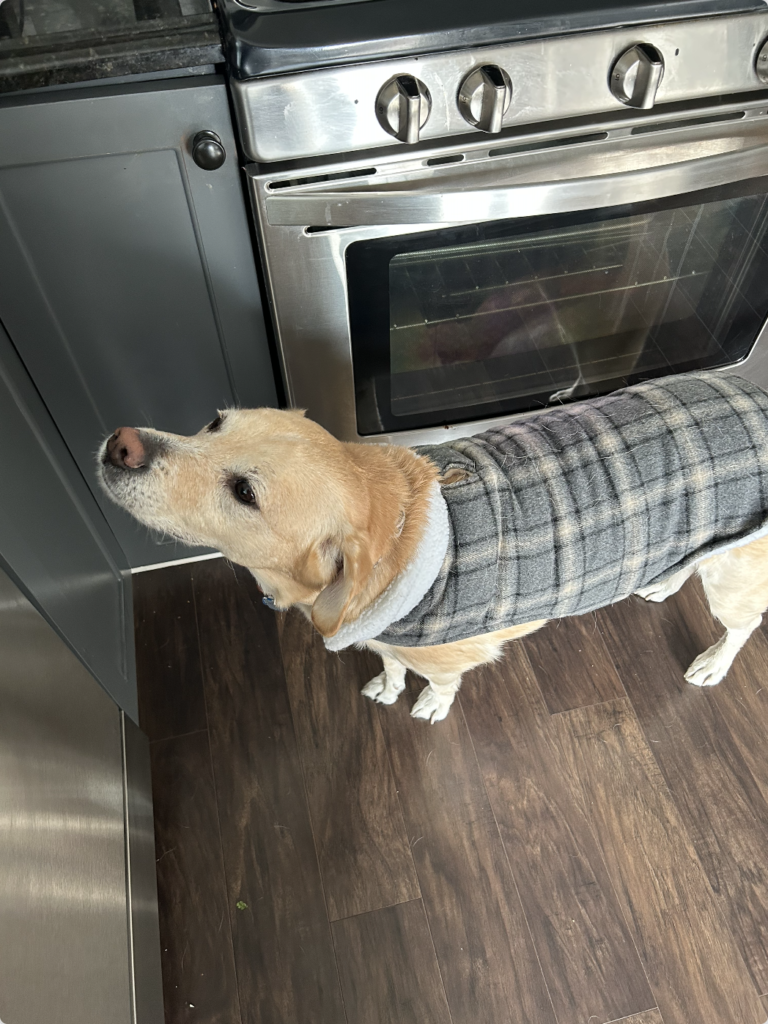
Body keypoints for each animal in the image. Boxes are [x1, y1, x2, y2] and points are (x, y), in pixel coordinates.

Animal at [99, 371, 768, 723]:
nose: (120, 444)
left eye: (244, 492)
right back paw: (661, 581)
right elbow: (389, 661)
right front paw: (388, 687)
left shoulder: (447, 656)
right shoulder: (381, 633)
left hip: (737, 579)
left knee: (741, 628)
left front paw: (426, 704)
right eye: (215, 423)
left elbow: (438, 683)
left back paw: (713, 663)